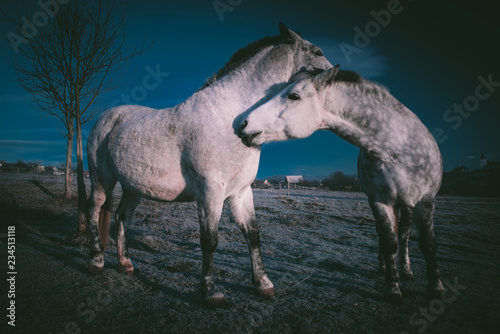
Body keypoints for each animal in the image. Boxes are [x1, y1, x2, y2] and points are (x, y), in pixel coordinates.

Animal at [238, 65, 446, 300]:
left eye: (294, 96)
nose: (243, 123)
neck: (396, 147)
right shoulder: (379, 201)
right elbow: (389, 242)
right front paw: (393, 288)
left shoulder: (425, 200)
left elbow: (428, 243)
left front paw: (436, 287)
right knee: (388, 234)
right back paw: (386, 267)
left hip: (408, 204)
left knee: (404, 233)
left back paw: (407, 270)